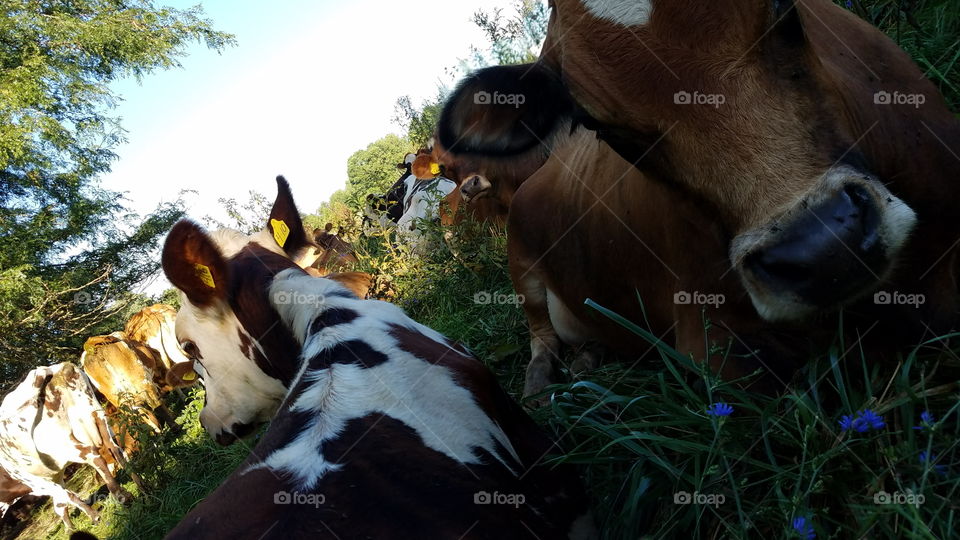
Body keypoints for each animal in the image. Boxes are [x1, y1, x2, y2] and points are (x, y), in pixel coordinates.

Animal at [0, 363, 139, 529]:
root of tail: (50, 369)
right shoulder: (55, 477)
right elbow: (60, 504)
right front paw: (71, 528)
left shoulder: (37, 482)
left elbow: (68, 497)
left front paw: (94, 518)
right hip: (97, 415)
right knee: (116, 450)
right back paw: (141, 486)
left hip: (63, 444)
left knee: (94, 456)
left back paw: (121, 496)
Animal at [436, 0, 960, 397]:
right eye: (596, 124)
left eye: (783, 9)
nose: (826, 247)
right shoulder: (713, 350)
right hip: (520, 266)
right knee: (540, 335)